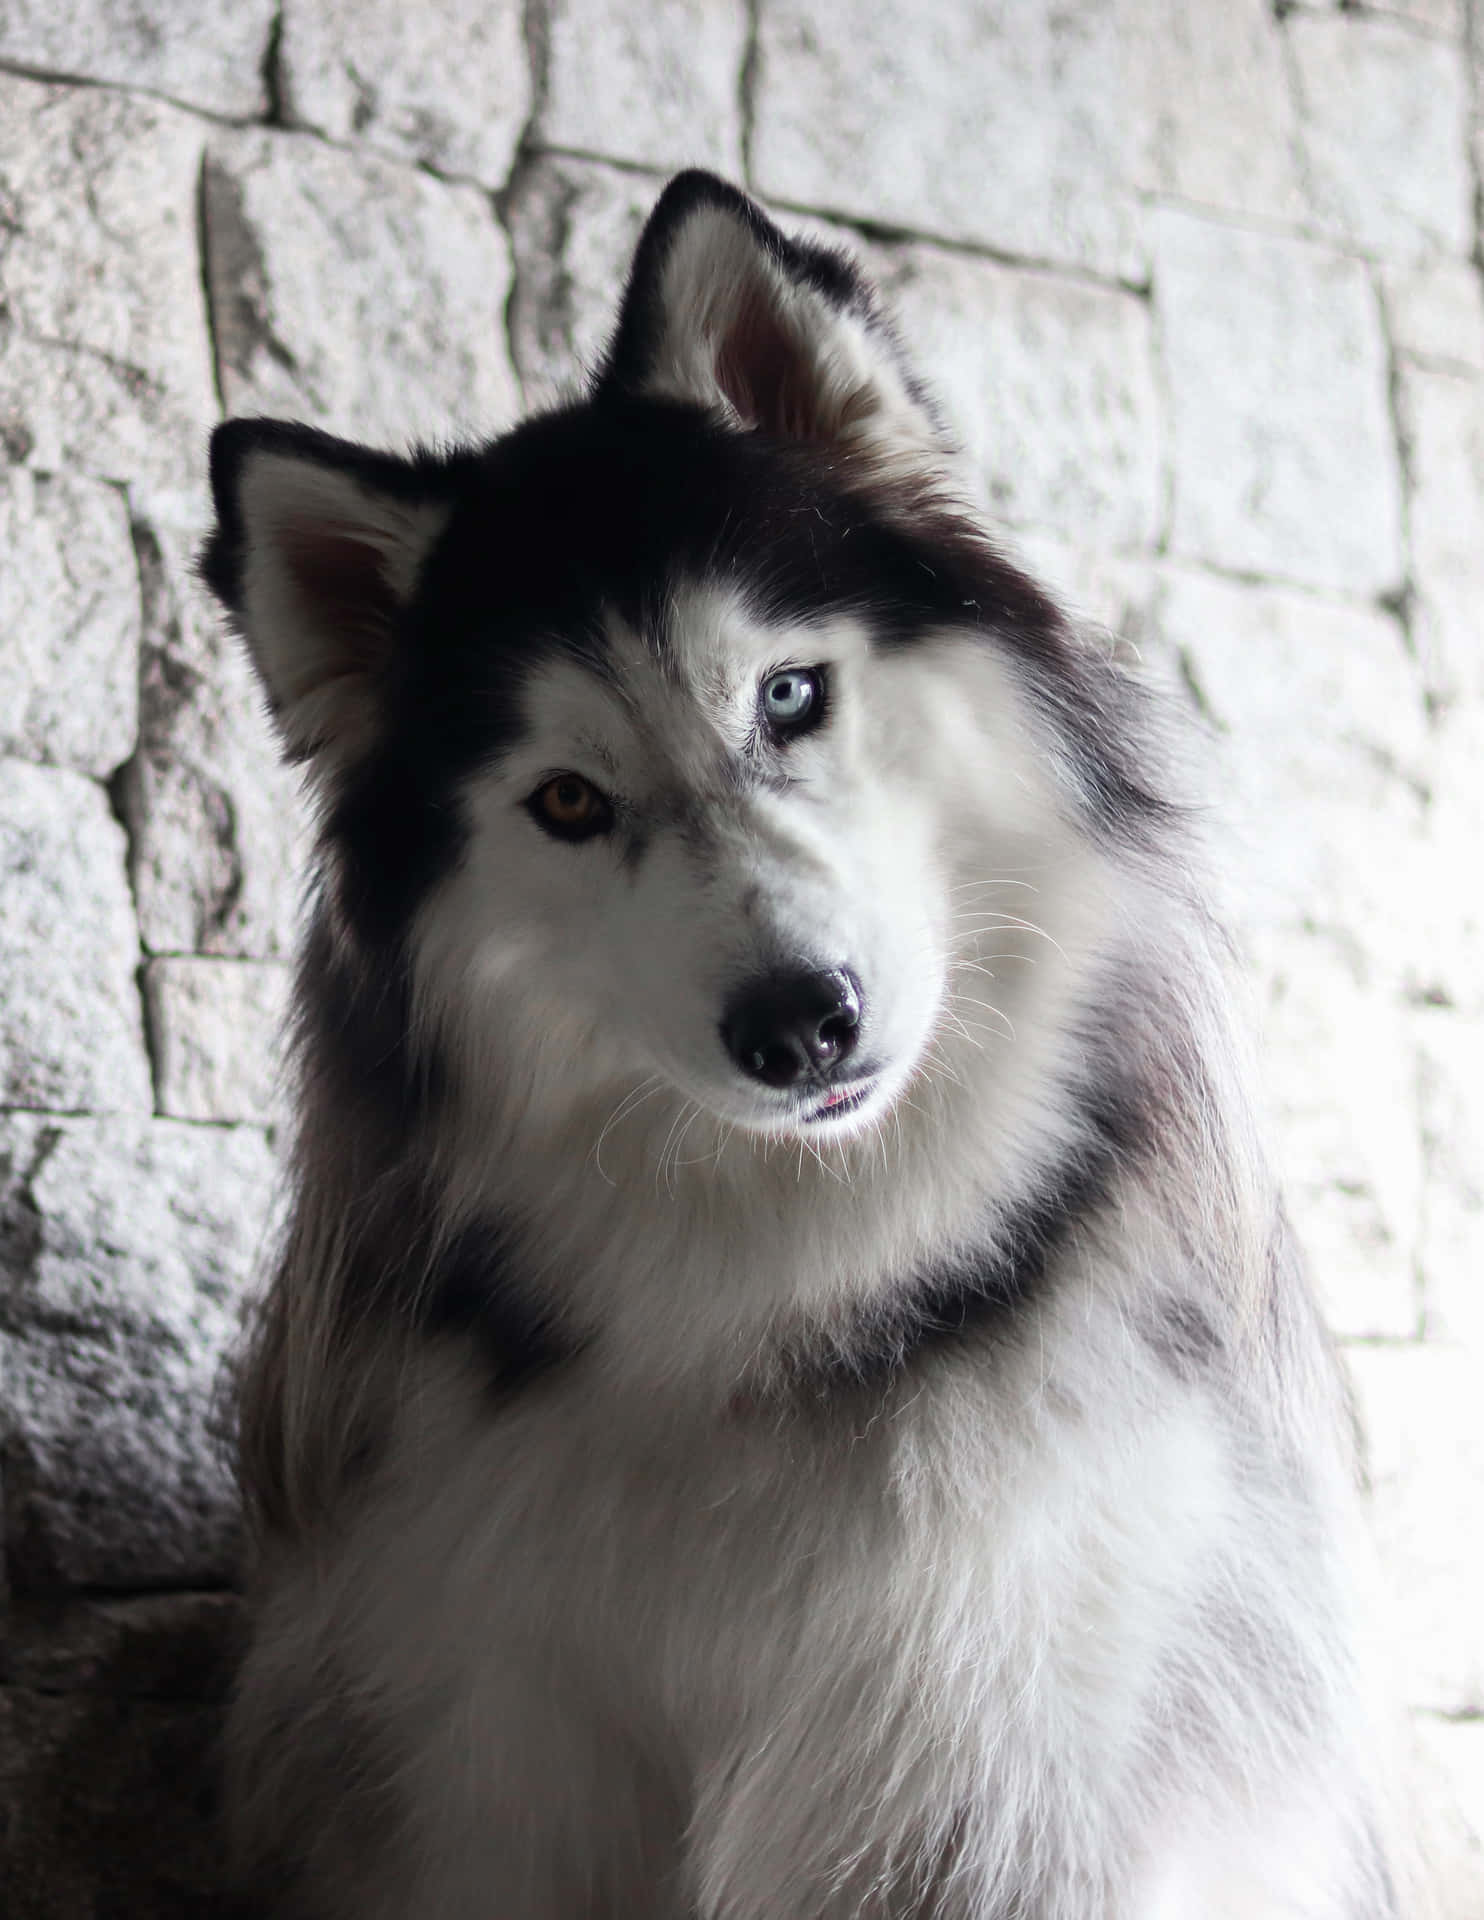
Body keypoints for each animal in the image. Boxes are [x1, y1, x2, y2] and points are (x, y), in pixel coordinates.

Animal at [202, 172, 1397, 1912]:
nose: (798, 1023)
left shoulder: (998, 1759)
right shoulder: (479, 1748)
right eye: (570, 800)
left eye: (785, 695)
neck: (787, 1305)